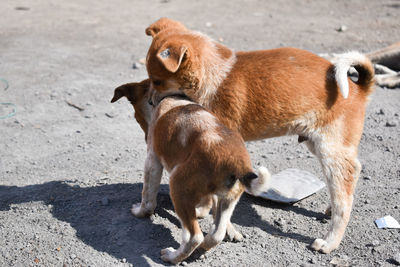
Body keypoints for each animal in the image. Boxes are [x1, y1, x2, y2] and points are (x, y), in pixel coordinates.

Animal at [111, 80, 270, 264]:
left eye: (137, 118)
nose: (145, 137)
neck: (173, 98)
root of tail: (237, 162)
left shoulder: (152, 161)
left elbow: (148, 198)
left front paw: (140, 212)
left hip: (178, 188)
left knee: (194, 237)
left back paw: (172, 256)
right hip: (228, 200)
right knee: (216, 234)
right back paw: (202, 249)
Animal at [145, 17, 376, 254]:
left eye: (157, 81)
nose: (151, 102)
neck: (214, 73)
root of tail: (359, 88)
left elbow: (220, 206)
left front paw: (226, 228)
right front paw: (204, 211)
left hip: (330, 150)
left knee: (344, 199)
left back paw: (330, 241)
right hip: (319, 143)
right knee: (352, 174)